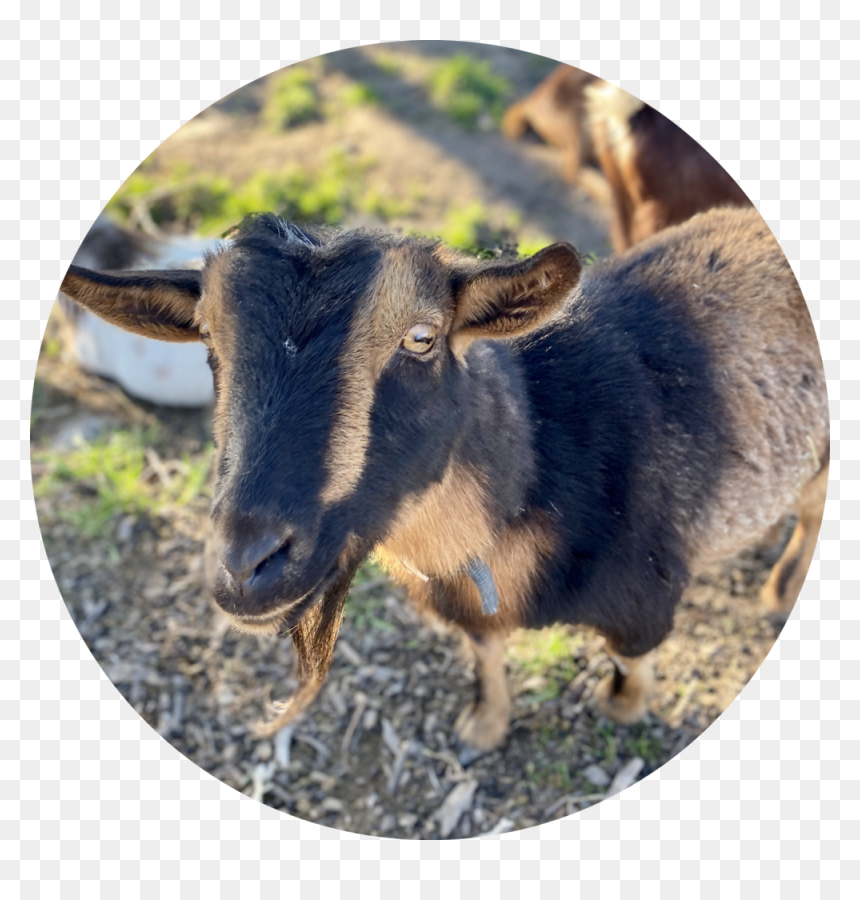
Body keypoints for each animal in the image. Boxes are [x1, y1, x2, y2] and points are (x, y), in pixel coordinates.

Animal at [58, 207, 829, 751]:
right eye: (208, 342)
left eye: (422, 339)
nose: (247, 565)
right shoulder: (467, 604)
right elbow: (484, 653)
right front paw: (483, 728)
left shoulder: (646, 597)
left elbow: (627, 661)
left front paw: (623, 709)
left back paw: (781, 590)